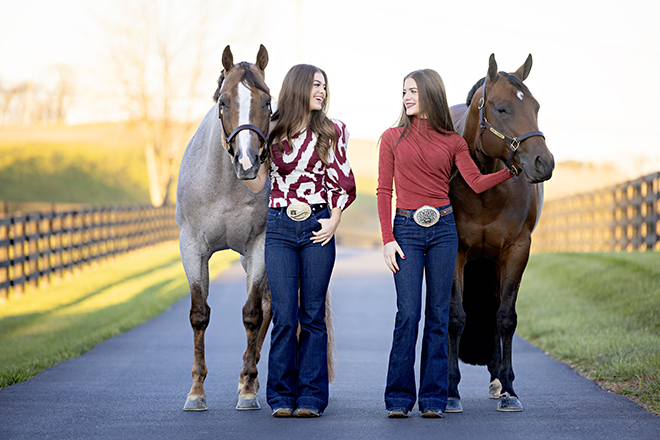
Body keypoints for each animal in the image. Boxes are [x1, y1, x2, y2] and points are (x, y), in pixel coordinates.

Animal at [175, 45, 274, 412]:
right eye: (223, 101)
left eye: (268, 101)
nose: (247, 162)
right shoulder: (192, 248)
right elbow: (199, 314)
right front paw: (196, 392)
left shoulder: (260, 246)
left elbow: (252, 315)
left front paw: (247, 390)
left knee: (266, 307)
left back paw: (250, 380)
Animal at [446, 54, 556, 412]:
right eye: (502, 108)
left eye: (535, 107)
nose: (543, 162)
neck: (484, 185)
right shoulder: (454, 251)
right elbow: (454, 316)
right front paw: (450, 390)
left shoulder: (516, 250)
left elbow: (505, 316)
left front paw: (508, 388)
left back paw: (496, 378)